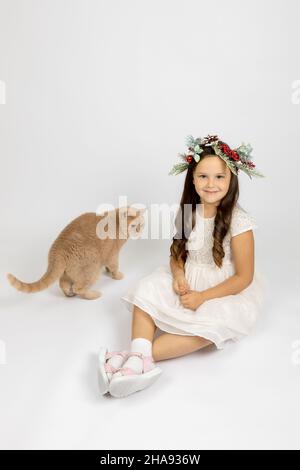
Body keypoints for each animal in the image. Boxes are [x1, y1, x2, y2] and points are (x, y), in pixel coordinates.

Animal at [7, 207, 145, 302]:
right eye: (134, 225)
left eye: (142, 224)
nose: (140, 231)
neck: (116, 222)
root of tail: (57, 250)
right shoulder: (112, 254)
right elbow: (114, 266)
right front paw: (117, 275)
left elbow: (108, 266)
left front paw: (107, 271)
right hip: (92, 269)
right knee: (79, 288)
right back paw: (94, 295)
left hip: (69, 271)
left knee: (63, 283)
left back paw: (68, 294)